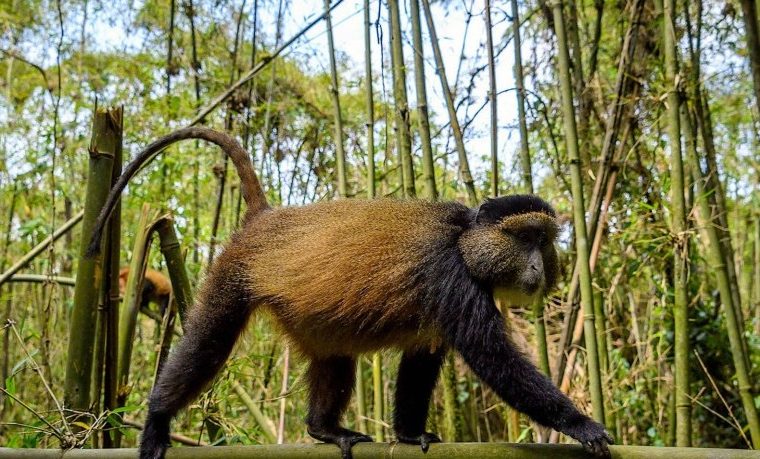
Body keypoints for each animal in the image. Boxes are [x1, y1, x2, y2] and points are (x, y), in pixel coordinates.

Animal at [87, 127, 613, 459]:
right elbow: (494, 359)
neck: (465, 242)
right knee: (206, 345)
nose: (536, 265)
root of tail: (264, 219)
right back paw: (157, 419)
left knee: (334, 359)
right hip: (233, 276)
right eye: (524, 237)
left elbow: (421, 360)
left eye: (544, 242)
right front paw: (580, 425)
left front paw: (409, 433)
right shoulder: (452, 278)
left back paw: (323, 428)